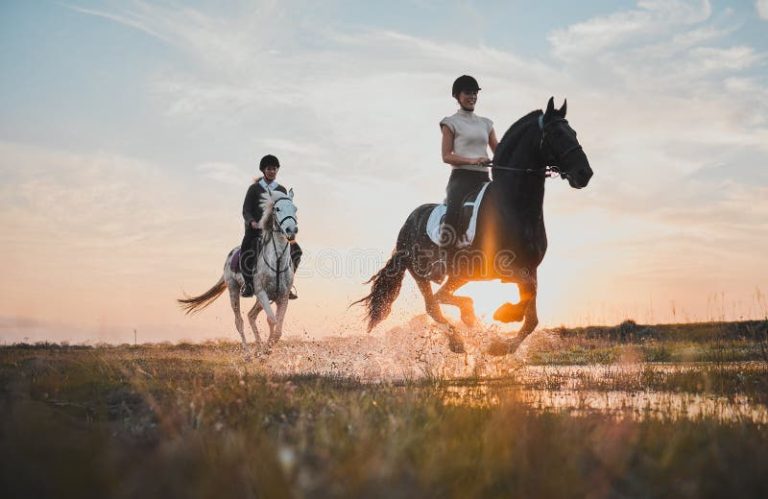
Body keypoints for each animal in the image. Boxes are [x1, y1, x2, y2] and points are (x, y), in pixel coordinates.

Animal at [177, 189, 298, 352]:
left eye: (295, 209)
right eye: (277, 209)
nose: (292, 230)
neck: (277, 261)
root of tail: (231, 255)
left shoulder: (283, 297)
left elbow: (277, 329)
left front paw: (266, 349)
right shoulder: (261, 292)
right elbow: (272, 320)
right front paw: (266, 350)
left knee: (251, 315)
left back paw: (258, 349)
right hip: (234, 290)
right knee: (239, 321)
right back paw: (248, 353)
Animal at [353, 97, 593, 354]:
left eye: (574, 133)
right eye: (556, 134)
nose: (585, 173)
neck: (513, 205)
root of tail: (407, 222)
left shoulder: (529, 269)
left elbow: (532, 315)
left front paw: (501, 346)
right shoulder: (505, 267)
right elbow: (526, 303)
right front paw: (505, 316)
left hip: (460, 274)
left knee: (441, 297)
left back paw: (467, 321)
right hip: (422, 272)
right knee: (434, 303)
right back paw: (458, 338)